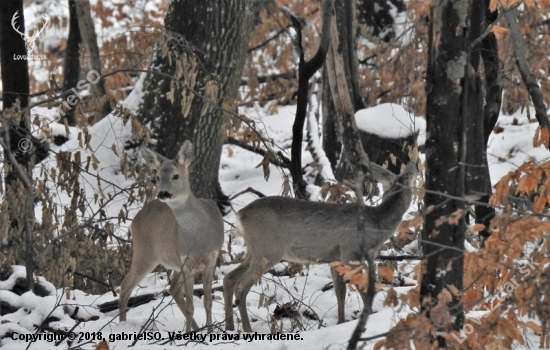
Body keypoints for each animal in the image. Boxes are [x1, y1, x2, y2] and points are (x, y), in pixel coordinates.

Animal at [119, 141, 225, 332]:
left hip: (169, 262)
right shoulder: (185, 260)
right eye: (157, 177)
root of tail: (135, 219)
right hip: (145, 253)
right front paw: (191, 334)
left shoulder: (212, 256)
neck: (199, 238)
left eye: (176, 176)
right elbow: (191, 306)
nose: (163, 193)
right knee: (125, 286)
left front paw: (210, 331)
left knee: (173, 288)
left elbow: (208, 302)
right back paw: (122, 324)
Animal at [222, 161, 416, 330]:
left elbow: (340, 293)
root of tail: (240, 215)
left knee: (228, 279)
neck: (378, 224)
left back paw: (229, 328)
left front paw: (340, 322)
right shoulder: (350, 251)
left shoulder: (335, 259)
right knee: (241, 286)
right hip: (269, 249)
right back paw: (247, 331)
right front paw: (368, 314)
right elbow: (362, 286)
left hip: (254, 250)